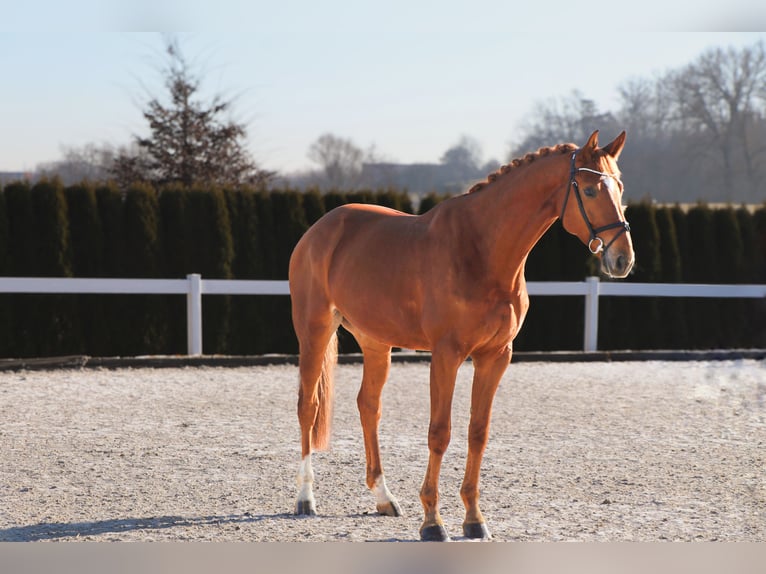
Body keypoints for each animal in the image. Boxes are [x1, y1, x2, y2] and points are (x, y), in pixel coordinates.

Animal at [290, 129, 636, 540]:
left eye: (620, 187)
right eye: (589, 190)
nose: (622, 259)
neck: (481, 251)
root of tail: (320, 229)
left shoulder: (496, 356)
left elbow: (477, 432)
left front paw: (474, 519)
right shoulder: (447, 354)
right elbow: (440, 432)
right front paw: (433, 522)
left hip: (376, 342)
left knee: (368, 406)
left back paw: (384, 497)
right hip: (314, 330)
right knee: (308, 407)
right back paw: (305, 498)